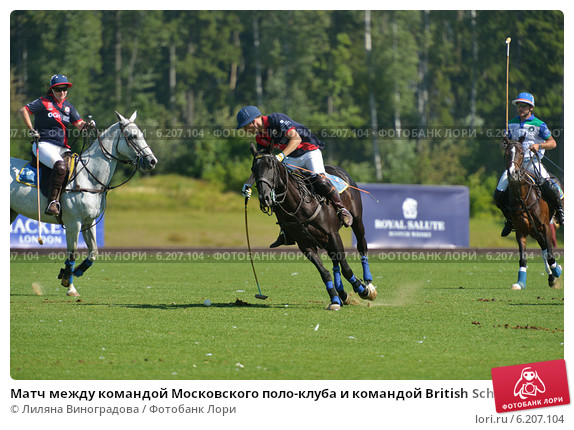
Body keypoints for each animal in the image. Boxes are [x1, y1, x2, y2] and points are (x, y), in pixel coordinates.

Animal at [9, 111, 158, 296]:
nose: (152, 161)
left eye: (142, 134)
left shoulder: (89, 222)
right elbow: (72, 254)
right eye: (132, 136)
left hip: (11, 212)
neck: (89, 176)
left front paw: (69, 274)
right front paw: (70, 286)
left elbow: (93, 253)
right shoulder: (74, 223)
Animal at [251, 144, 378, 310]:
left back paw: (368, 283)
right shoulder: (305, 244)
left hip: (356, 220)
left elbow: (346, 268)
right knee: (335, 261)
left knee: (361, 246)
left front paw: (362, 289)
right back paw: (342, 293)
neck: (298, 205)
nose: (264, 198)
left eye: (271, 166)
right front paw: (335, 299)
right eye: (253, 169)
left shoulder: (333, 234)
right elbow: (324, 272)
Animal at [506, 139, 564, 290]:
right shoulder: (520, 231)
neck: (523, 198)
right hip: (534, 231)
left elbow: (550, 255)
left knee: (546, 250)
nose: (513, 174)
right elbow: (523, 258)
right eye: (506, 152)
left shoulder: (545, 226)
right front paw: (520, 282)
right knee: (543, 249)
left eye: (521, 152)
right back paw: (551, 278)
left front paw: (557, 270)